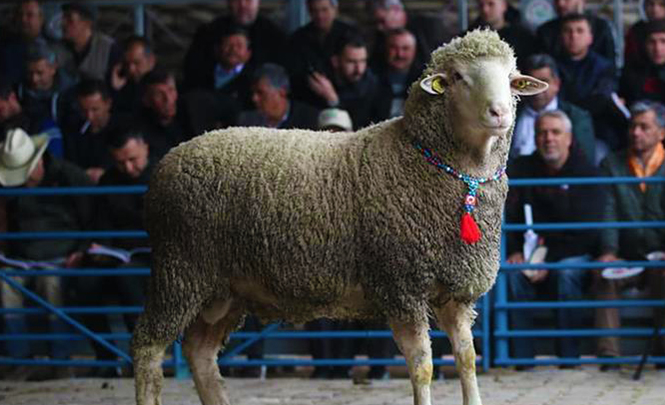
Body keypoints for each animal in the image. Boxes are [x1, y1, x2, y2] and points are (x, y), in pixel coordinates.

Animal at [134, 30, 544, 404]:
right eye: (458, 76)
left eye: (512, 79)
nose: (500, 112)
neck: (425, 161)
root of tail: (169, 160)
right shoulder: (401, 286)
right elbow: (423, 366)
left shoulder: (454, 292)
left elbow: (468, 360)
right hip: (180, 269)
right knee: (147, 348)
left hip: (223, 289)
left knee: (200, 353)